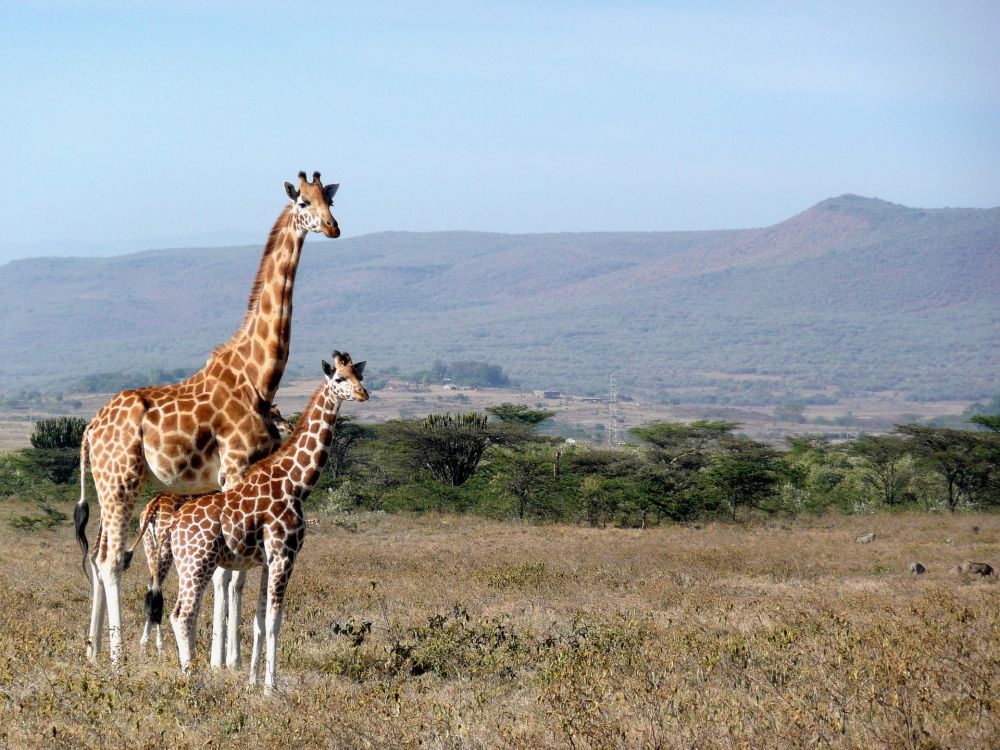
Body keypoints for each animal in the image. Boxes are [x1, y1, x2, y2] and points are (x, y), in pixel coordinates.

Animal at [75, 171, 341, 664]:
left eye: (330, 201)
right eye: (303, 203)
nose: (333, 227)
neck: (260, 375)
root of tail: (89, 429)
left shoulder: (237, 477)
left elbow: (230, 572)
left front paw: (224, 658)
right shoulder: (235, 467)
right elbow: (229, 574)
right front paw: (227, 661)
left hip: (108, 483)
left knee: (100, 554)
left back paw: (93, 652)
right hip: (122, 479)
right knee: (110, 560)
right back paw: (118, 659)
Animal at [154, 352, 368, 691]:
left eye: (360, 376)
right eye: (339, 378)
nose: (363, 394)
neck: (296, 483)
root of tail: (175, 524)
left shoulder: (268, 561)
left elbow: (258, 620)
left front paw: (253, 681)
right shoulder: (284, 554)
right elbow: (274, 621)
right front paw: (271, 686)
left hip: (189, 563)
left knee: (185, 612)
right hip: (197, 561)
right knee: (182, 614)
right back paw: (192, 678)